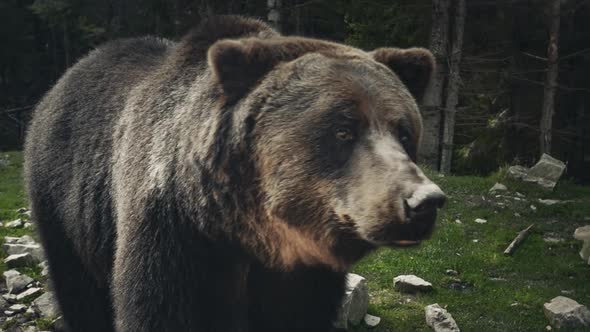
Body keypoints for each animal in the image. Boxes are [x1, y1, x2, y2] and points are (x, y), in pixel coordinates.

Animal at [25, 14, 446, 332]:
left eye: (404, 131)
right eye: (344, 129)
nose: (424, 202)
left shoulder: (302, 276)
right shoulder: (174, 237)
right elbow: (161, 309)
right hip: (61, 199)